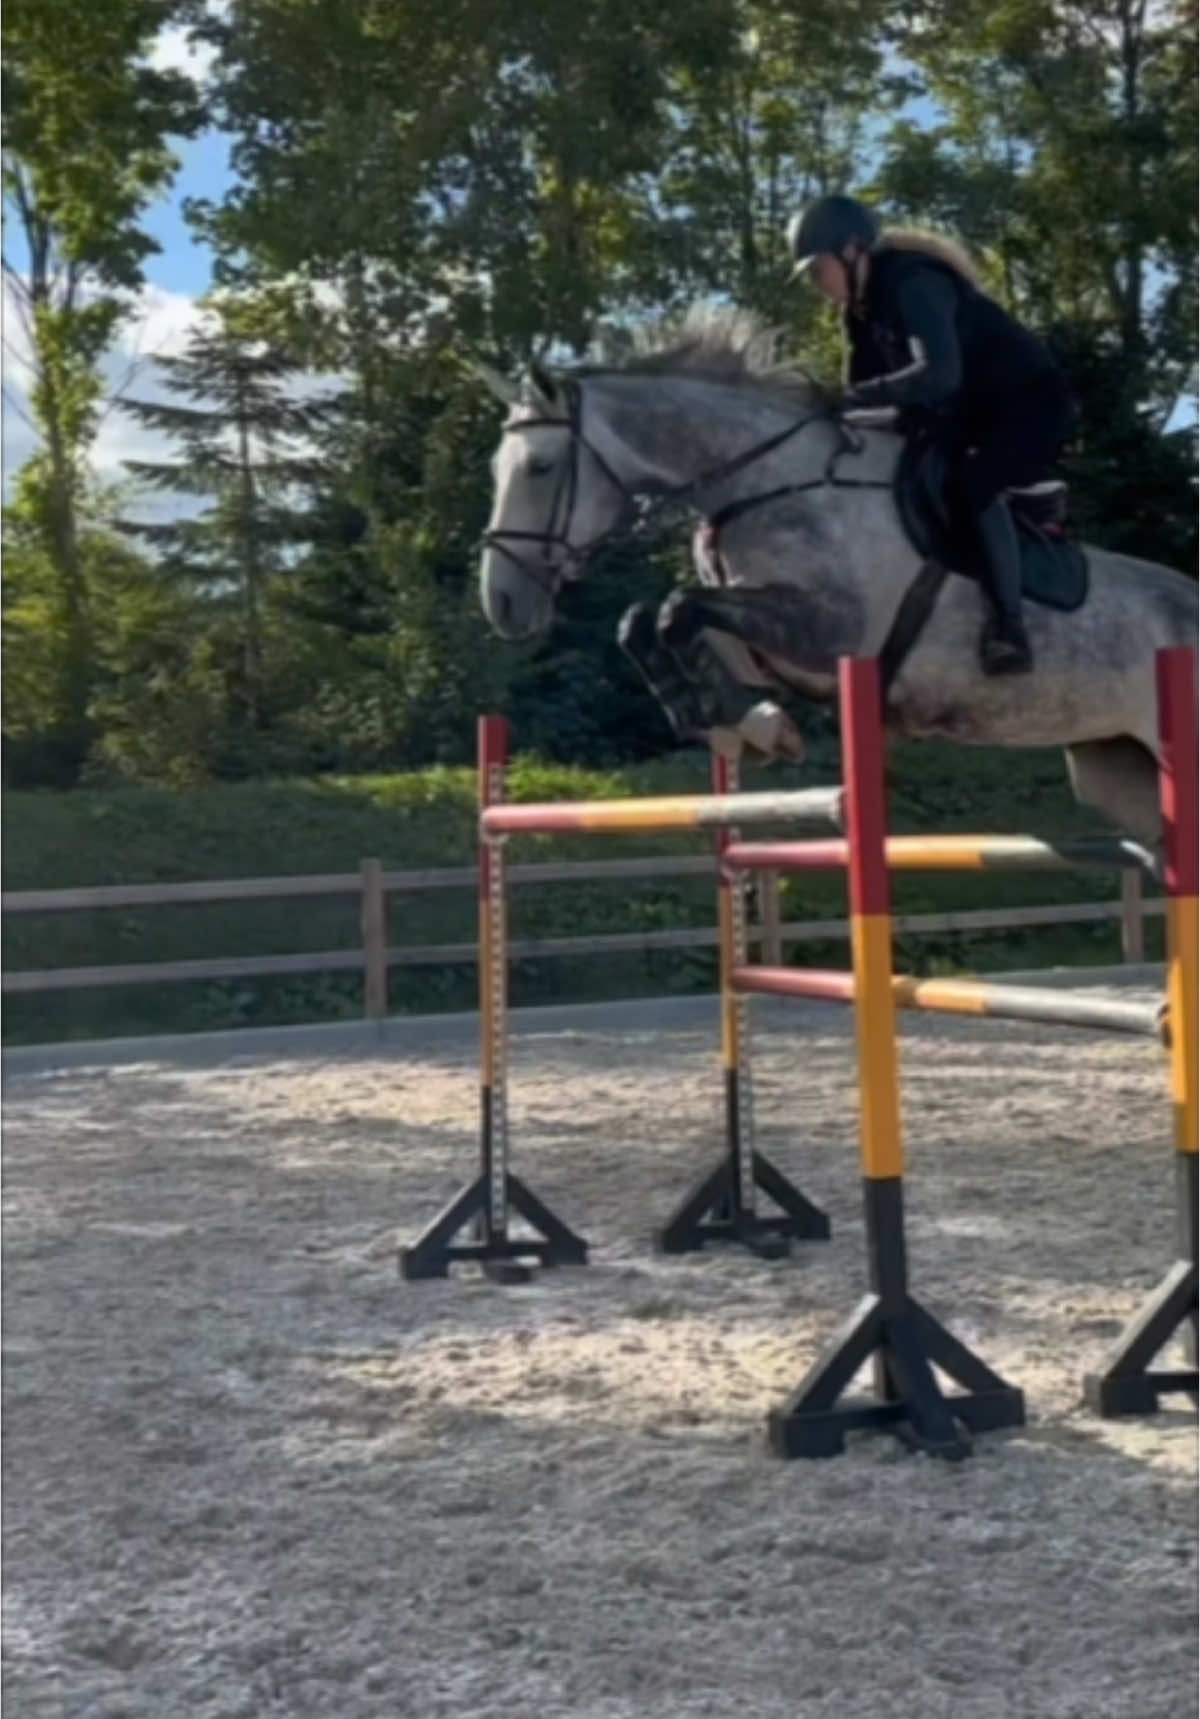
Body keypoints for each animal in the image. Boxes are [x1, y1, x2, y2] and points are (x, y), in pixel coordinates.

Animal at [474, 314, 1189, 852]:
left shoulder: (827, 633)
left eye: (539, 467)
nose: (502, 603)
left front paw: (752, 726)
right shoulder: (767, 642)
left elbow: (678, 610)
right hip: (1116, 768)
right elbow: (649, 620)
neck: (766, 481)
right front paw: (735, 723)